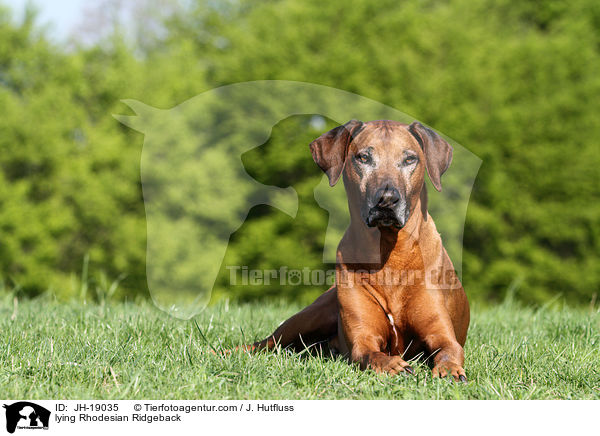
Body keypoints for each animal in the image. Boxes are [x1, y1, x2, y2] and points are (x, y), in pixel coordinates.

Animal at [244, 120, 468, 382]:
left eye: (410, 159)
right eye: (363, 157)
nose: (387, 199)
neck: (390, 251)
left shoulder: (443, 334)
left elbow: (449, 350)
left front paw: (450, 371)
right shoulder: (363, 338)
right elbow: (370, 353)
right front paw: (393, 365)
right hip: (308, 317)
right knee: (262, 344)